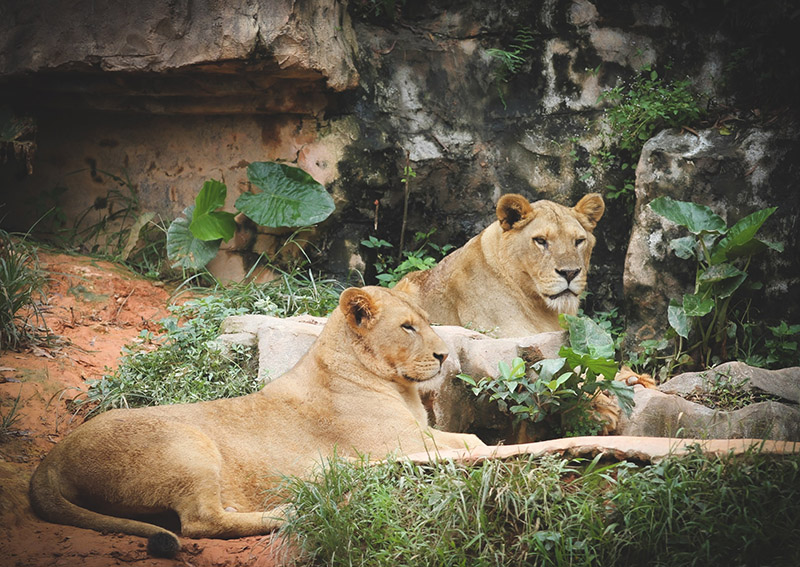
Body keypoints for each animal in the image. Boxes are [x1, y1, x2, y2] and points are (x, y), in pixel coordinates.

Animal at [28, 288, 484, 560]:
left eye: (426, 321)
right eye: (407, 327)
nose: (445, 355)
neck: (399, 387)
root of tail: (52, 458)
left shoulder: (419, 433)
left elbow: (471, 437)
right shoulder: (400, 442)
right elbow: (470, 440)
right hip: (187, 443)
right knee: (201, 521)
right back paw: (292, 511)